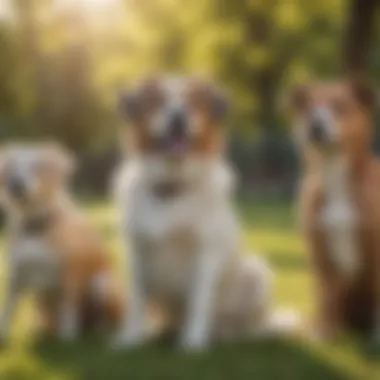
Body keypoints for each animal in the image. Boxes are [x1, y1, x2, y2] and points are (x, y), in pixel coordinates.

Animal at [0, 143, 123, 344]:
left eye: (38, 166)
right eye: (13, 167)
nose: (16, 184)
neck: (37, 225)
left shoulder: (70, 274)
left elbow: (67, 307)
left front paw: (67, 338)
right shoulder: (16, 277)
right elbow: (8, 310)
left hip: (103, 283)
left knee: (109, 320)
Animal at [288, 78, 380, 340]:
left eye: (339, 107)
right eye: (307, 108)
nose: (315, 125)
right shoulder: (320, 254)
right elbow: (326, 297)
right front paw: (324, 333)